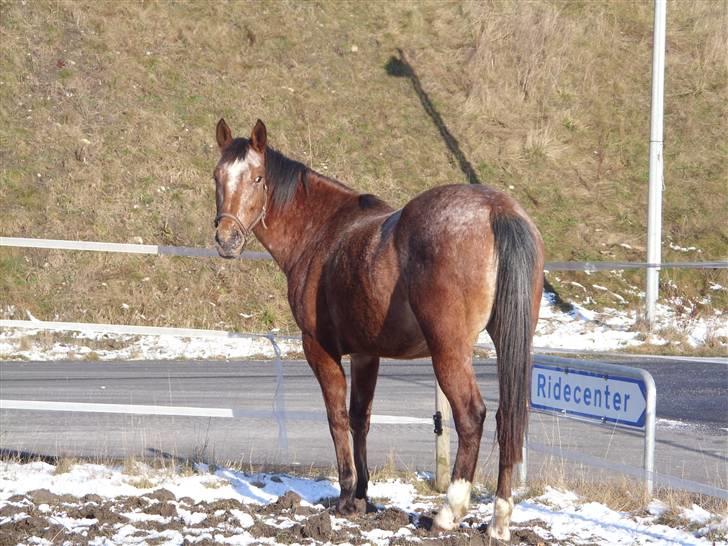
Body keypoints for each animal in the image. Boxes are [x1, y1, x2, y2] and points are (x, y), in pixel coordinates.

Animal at [210, 117, 540, 536]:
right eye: (217, 176)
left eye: (256, 178)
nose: (226, 238)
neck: (322, 231)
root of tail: (496, 208)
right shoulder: (367, 354)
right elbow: (360, 418)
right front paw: (363, 497)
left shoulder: (319, 349)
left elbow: (336, 417)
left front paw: (346, 495)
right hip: (511, 344)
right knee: (508, 418)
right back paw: (499, 519)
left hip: (449, 351)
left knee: (471, 416)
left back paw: (449, 512)